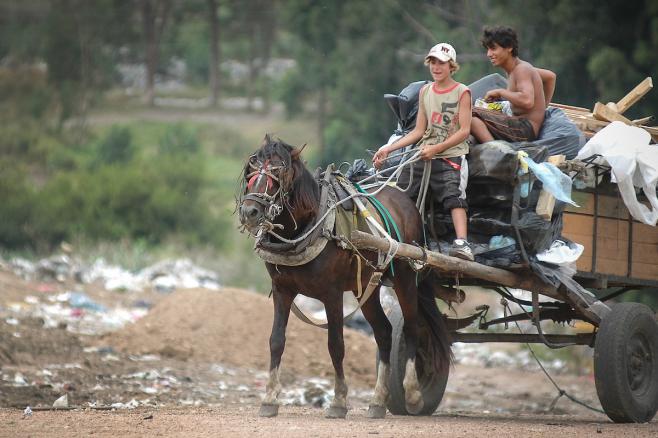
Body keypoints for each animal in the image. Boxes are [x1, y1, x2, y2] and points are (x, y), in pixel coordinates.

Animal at [237, 135, 452, 420]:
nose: (249, 212)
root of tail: (405, 199)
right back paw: (377, 401)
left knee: (411, 327)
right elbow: (276, 341)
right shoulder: (282, 290)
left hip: (406, 277)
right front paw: (270, 398)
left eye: (279, 171)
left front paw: (339, 401)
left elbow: (336, 344)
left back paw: (414, 394)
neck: (307, 227)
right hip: (367, 288)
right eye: (251, 169)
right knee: (384, 333)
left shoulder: (332, 294)